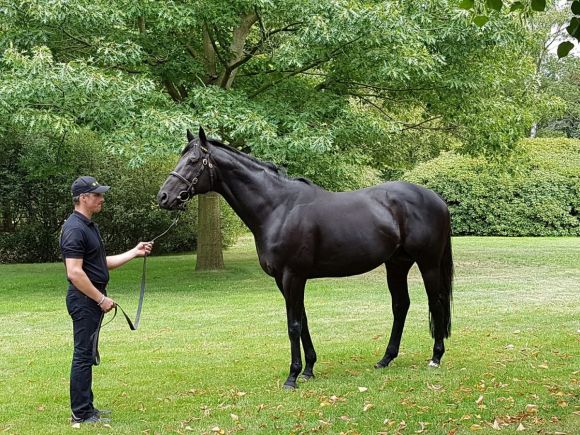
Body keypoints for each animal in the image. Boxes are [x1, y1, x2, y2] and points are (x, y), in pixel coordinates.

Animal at [157, 127, 454, 390]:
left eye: (193, 160)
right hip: (396, 264)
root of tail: (437, 199)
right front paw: (309, 369)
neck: (278, 208)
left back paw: (436, 357)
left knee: (436, 302)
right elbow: (303, 321)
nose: (164, 197)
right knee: (400, 305)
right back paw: (385, 359)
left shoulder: (293, 276)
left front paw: (292, 377)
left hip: (427, 263)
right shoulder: (283, 279)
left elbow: (293, 325)